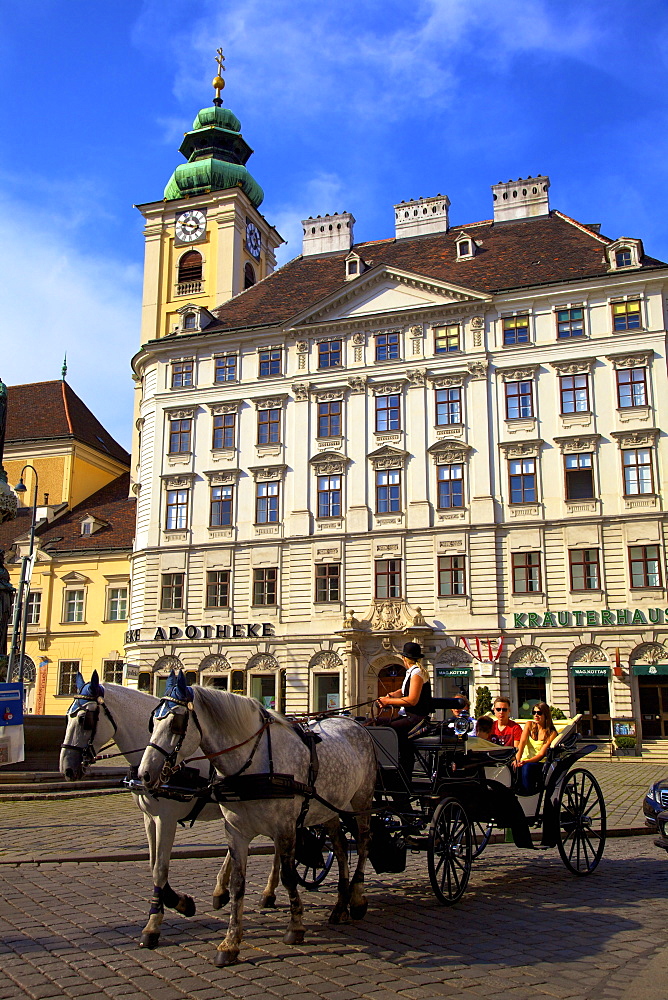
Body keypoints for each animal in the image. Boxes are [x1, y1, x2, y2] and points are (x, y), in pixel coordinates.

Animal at [58, 676, 284, 948]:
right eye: (67, 717)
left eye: (84, 719)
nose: (67, 769)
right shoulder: (149, 818)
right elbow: (153, 864)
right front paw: (181, 902)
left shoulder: (167, 819)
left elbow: (160, 869)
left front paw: (154, 925)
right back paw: (221, 890)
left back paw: (268, 892)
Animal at [140, 676, 376, 964]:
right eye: (152, 722)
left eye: (176, 723)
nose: (144, 774)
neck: (251, 764)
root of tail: (354, 723)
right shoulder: (235, 831)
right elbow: (237, 883)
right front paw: (230, 943)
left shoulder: (285, 828)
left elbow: (288, 876)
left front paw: (295, 926)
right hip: (330, 810)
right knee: (341, 850)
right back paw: (340, 907)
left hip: (361, 803)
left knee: (363, 844)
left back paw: (357, 899)